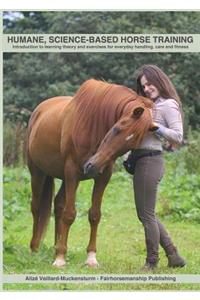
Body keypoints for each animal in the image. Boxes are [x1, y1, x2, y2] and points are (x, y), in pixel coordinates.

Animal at [27, 79, 155, 268]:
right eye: (117, 129)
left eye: (131, 145)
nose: (92, 166)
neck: (94, 123)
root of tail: (39, 110)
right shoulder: (72, 172)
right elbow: (70, 214)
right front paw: (60, 258)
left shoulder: (103, 177)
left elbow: (94, 215)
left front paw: (91, 257)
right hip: (38, 172)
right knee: (37, 208)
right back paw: (35, 249)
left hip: (63, 177)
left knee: (58, 205)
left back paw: (56, 247)